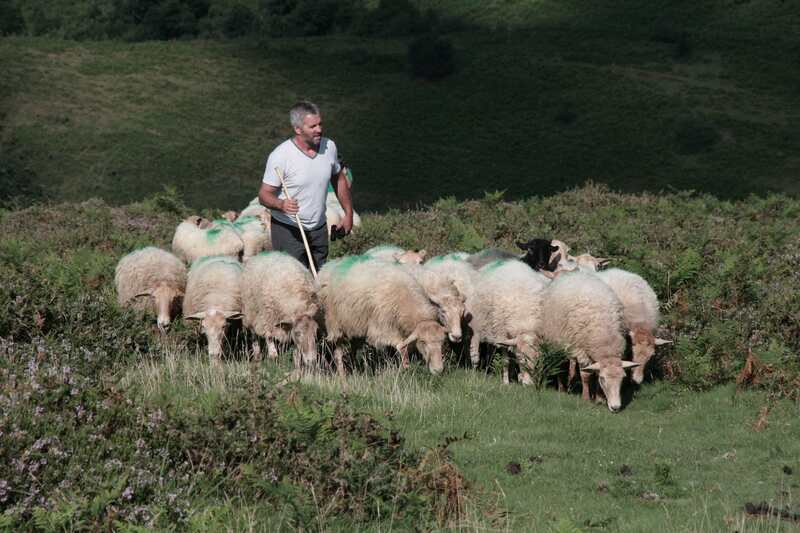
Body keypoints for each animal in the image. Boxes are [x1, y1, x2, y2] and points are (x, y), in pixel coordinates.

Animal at [316, 256, 446, 376]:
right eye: (423, 341)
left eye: (441, 341)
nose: (438, 370)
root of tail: (327, 265)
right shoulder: (381, 328)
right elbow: (401, 346)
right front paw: (406, 367)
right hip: (333, 323)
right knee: (337, 350)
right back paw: (342, 374)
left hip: (356, 322)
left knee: (354, 347)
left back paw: (355, 368)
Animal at [536, 270, 636, 412]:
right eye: (603, 379)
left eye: (622, 379)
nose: (616, 407)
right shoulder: (581, 350)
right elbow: (586, 375)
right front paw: (586, 397)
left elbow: (593, 373)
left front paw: (598, 398)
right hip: (556, 342)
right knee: (559, 365)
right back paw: (562, 388)